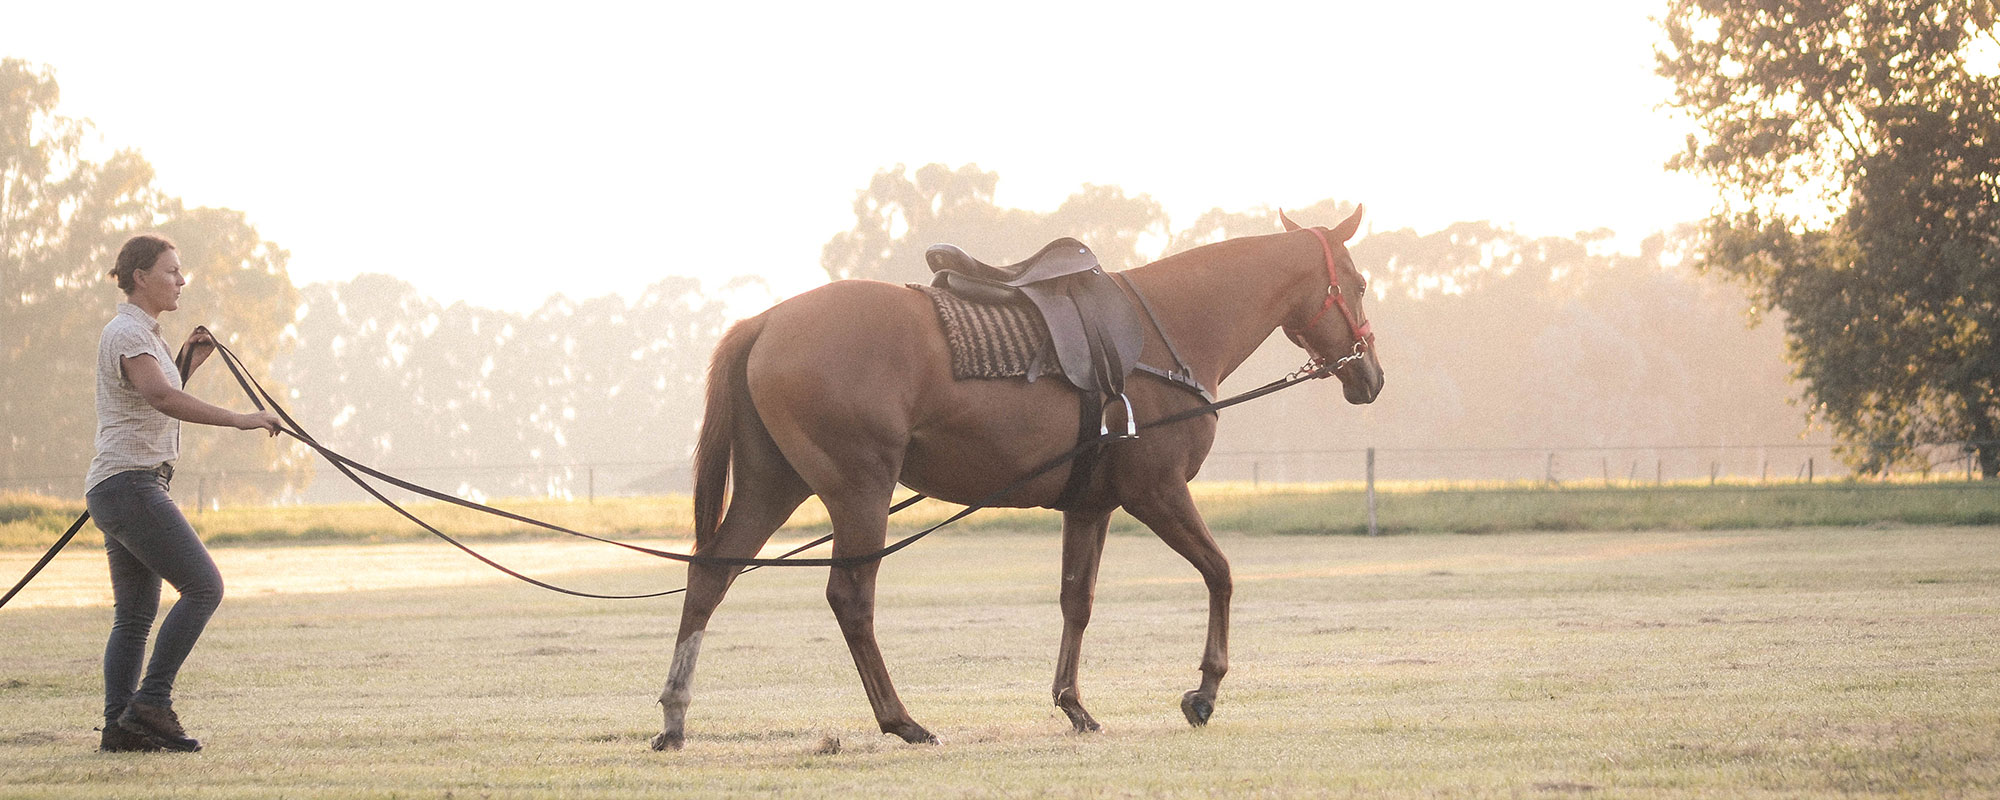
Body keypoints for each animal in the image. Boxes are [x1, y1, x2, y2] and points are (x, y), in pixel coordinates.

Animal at [648, 206, 1384, 752]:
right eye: (1359, 282)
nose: (1370, 376)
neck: (1167, 330)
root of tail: (767, 319)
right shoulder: (1158, 492)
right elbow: (1221, 573)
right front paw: (1203, 692)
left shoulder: (1091, 506)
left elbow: (1076, 600)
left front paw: (1073, 705)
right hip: (860, 491)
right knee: (849, 597)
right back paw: (901, 720)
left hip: (774, 484)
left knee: (710, 574)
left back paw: (675, 716)